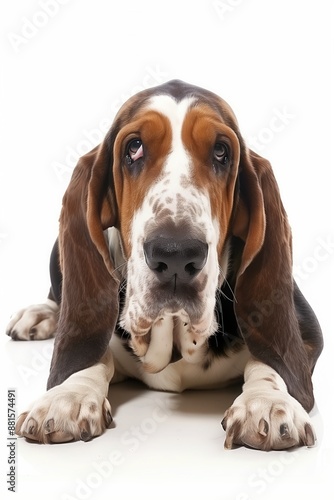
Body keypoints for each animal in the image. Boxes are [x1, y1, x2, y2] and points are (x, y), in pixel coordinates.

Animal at [5, 81, 324, 450]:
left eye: (221, 152)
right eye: (134, 148)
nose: (175, 254)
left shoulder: (307, 332)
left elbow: (270, 361)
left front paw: (267, 403)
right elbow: (93, 352)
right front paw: (67, 396)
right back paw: (41, 314)